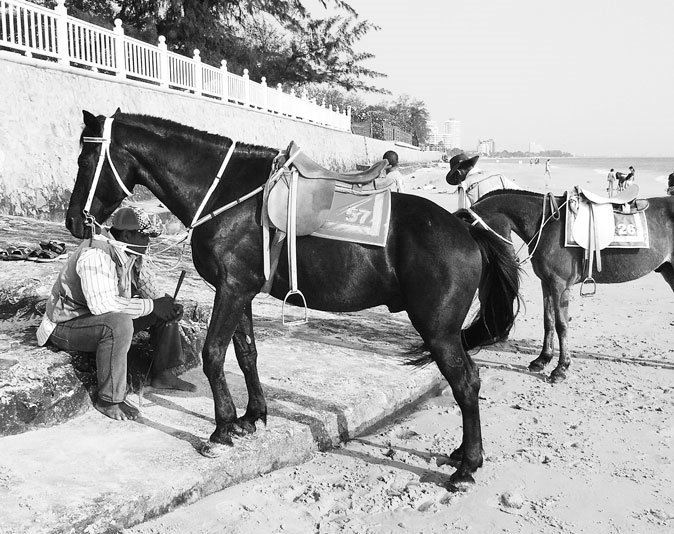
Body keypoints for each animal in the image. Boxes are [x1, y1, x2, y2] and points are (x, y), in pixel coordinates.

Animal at [460, 191, 672, 384]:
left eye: (473, 234)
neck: (546, 225)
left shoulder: (559, 285)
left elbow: (561, 325)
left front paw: (561, 368)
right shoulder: (546, 283)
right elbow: (548, 321)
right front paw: (542, 359)